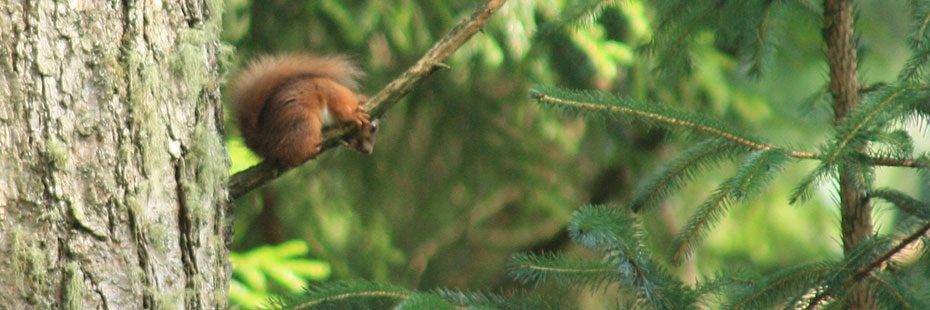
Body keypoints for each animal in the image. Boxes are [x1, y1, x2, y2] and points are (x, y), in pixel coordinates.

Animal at [232, 55, 376, 167]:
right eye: (373, 128)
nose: (368, 151)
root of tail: (265, 140)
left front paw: (350, 140)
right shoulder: (333, 93)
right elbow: (340, 109)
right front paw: (353, 115)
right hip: (304, 121)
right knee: (289, 153)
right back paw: (309, 151)